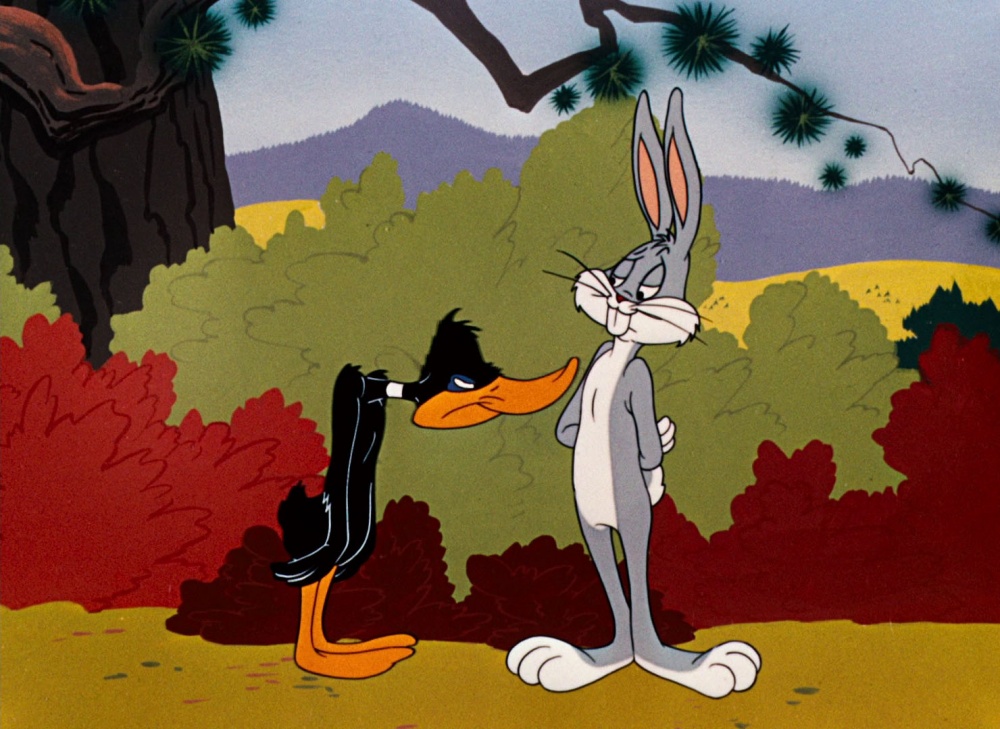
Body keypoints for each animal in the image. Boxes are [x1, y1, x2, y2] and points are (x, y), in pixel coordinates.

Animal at [507, 88, 761, 696]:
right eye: (621, 269)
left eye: (650, 285)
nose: (619, 298)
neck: (619, 353)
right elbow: (567, 429)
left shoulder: (637, 384)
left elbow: (638, 443)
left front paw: (660, 446)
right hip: (590, 521)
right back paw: (598, 658)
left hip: (628, 516)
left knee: (638, 571)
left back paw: (660, 660)